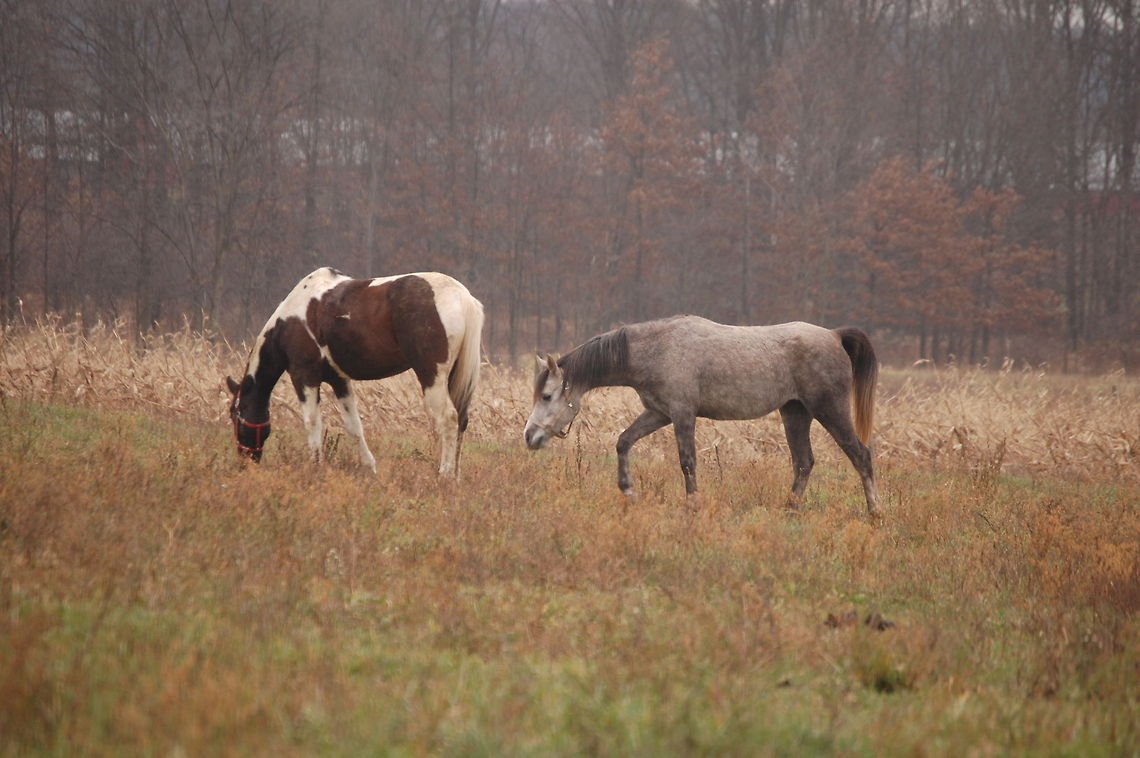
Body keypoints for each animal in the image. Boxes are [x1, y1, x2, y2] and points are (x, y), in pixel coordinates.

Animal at [225, 267, 484, 475]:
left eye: (235, 415)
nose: (245, 461)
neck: (288, 323)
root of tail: (461, 296)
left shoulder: (304, 376)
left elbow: (312, 422)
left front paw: (316, 467)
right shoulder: (339, 380)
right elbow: (353, 426)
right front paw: (369, 468)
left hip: (432, 377)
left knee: (448, 419)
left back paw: (445, 475)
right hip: (453, 378)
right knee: (461, 420)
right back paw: (456, 475)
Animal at [523, 316, 880, 516]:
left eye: (547, 396)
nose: (529, 436)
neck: (657, 349)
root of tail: (835, 336)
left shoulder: (683, 414)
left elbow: (687, 462)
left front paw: (692, 506)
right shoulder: (658, 413)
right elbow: (623, 442)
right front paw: (628, 490)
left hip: (828, 409)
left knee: (861, 456)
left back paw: (875, 512)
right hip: (795, 412)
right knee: (804, 462)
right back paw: (790, 510)